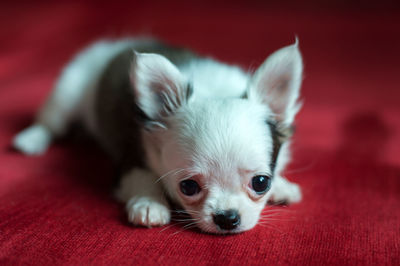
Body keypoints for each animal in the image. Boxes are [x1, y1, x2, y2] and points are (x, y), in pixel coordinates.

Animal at [13, 37, 304, 233]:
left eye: (261, 182)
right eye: (188, 187)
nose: (227, 218)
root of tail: (115, 44)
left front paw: (282, 186)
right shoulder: (133, 155)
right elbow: (143, 176)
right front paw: (149, 204)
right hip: (68, 91)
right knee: (51, 122)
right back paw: (31, 140)